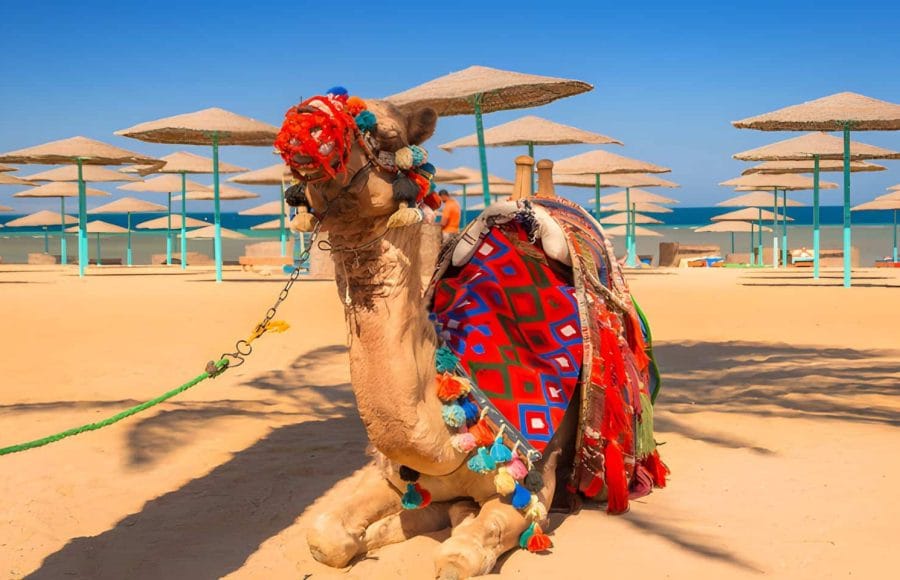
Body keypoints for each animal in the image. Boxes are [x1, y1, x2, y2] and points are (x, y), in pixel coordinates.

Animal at [276, 90, 664, 579]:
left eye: (385, 132)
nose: (305, 119)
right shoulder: (390, 472)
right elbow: (325, 536)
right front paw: (391, 527)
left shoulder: (535, 482)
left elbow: (457, 557)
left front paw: (446, 525)